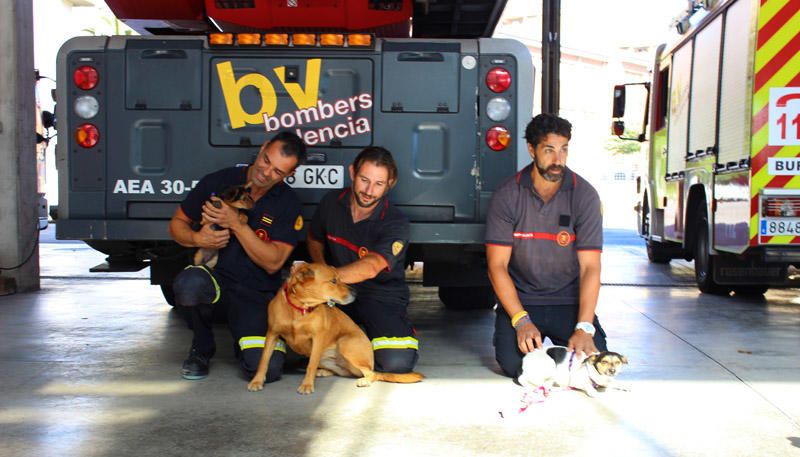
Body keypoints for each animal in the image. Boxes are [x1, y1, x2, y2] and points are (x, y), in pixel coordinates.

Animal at [247, 262, 424, 394]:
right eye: (333, 281)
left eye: (340, 278)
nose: (355, 292)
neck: (299, 308)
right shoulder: (272, 334)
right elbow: (263, 361)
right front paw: (257, 381)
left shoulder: (318, 338)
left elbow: (310, 365)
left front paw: (307, 385)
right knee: (343, 372)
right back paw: (324, 371)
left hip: (346, 344)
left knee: (371, 373)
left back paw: (364, 380)